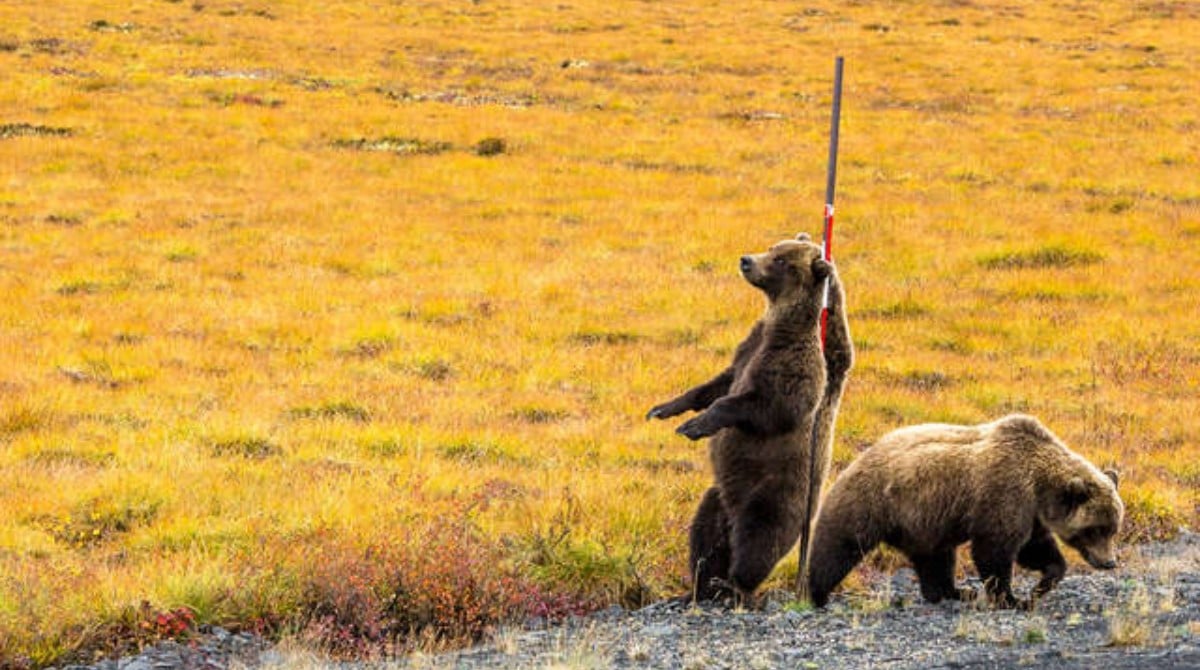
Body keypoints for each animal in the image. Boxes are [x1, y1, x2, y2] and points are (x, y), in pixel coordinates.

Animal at [648, 235, 854, 605]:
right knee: (705, 537)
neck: (778, 324)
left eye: (782, 260)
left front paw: (695, 426)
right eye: (772, 247)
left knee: (758, 543)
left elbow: (769, 405)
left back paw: (735, 586)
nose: (746, 260)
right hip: (719, 497)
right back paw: (702, 587)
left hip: (772, 495)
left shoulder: (791, 366)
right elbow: (716, 384)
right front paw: (665, 408)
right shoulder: (748, 350)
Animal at [806, 415, 1123, 609]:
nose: (1109, 562)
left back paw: (954, 592)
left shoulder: (1031, 514)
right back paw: (817, 594)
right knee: (838, 545)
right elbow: (994, 551)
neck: (1040, 485)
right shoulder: (1005, 495)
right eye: (1094, 529)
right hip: (870, 502)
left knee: (936, 558)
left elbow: (1036, 549)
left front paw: (1042, 585)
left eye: (1113, 527)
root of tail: (858, 458)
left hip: (925, 521)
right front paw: (1011, 598)